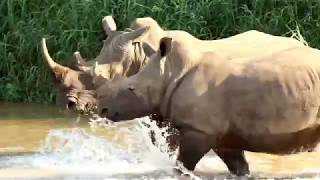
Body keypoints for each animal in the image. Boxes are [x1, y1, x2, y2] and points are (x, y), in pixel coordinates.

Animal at [97, 37, 320, 176]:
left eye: (131, 88)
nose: (103, 109)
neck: (170, 74)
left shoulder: (199, 130)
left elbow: (182, 164)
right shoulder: (224, 136)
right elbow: (238, 166)